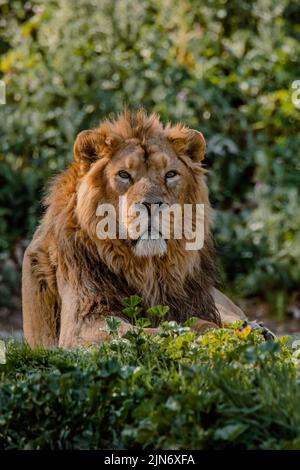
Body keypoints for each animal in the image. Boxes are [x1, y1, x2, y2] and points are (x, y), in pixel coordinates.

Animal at [22, 108, 244, 346]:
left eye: (170, 174)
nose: (152, 204)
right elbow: (149, 332)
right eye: (124, 175)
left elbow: (203, 323)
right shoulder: (82, 324)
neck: (148, 271)